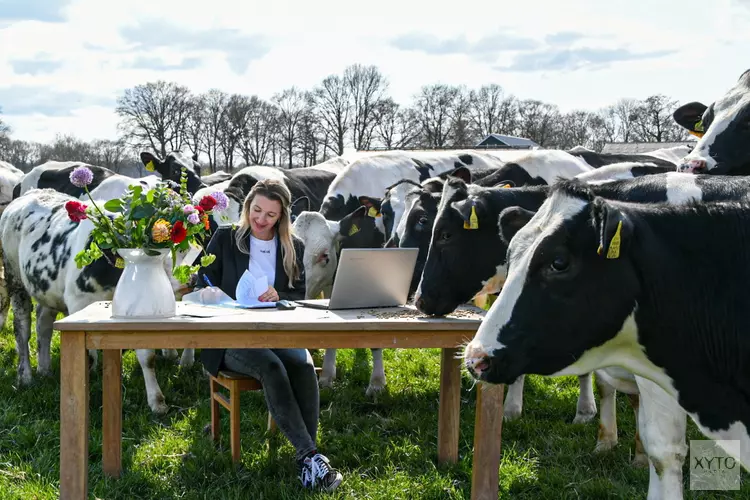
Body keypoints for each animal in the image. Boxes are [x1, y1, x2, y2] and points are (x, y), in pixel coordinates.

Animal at [0, 188, 197, 414]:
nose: (192, 279)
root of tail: (30, 194)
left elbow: (146, 356)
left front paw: (156, 401)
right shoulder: (78, 305)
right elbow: (89, 357)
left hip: (46, 288)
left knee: (43, 324)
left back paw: (45, 369)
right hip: (14, 278)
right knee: (22, 327)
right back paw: (25, 376)